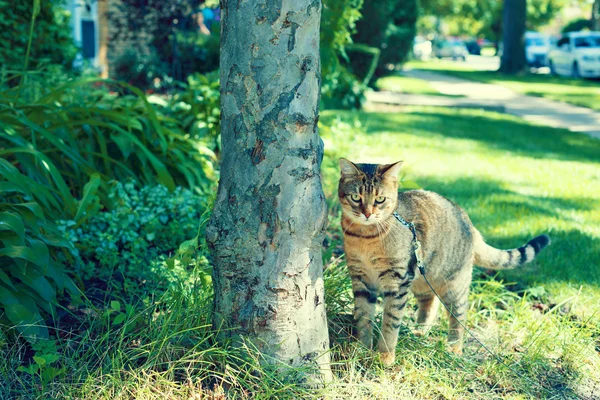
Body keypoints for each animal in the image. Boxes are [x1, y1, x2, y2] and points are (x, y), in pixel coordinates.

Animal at [336, 159, 552, 366]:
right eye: (356, 197)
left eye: (380, 199)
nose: (367, 214)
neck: (365, 237)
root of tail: (471, 225)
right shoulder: (361, 279)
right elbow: (363, 317)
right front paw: (361, 348)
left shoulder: (397, 281)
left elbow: (390, 322)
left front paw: (385, 356)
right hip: (422, 278)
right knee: (430, 304)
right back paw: (420, 332)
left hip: (453, 285)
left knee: (459, 315)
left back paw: (454, 347)